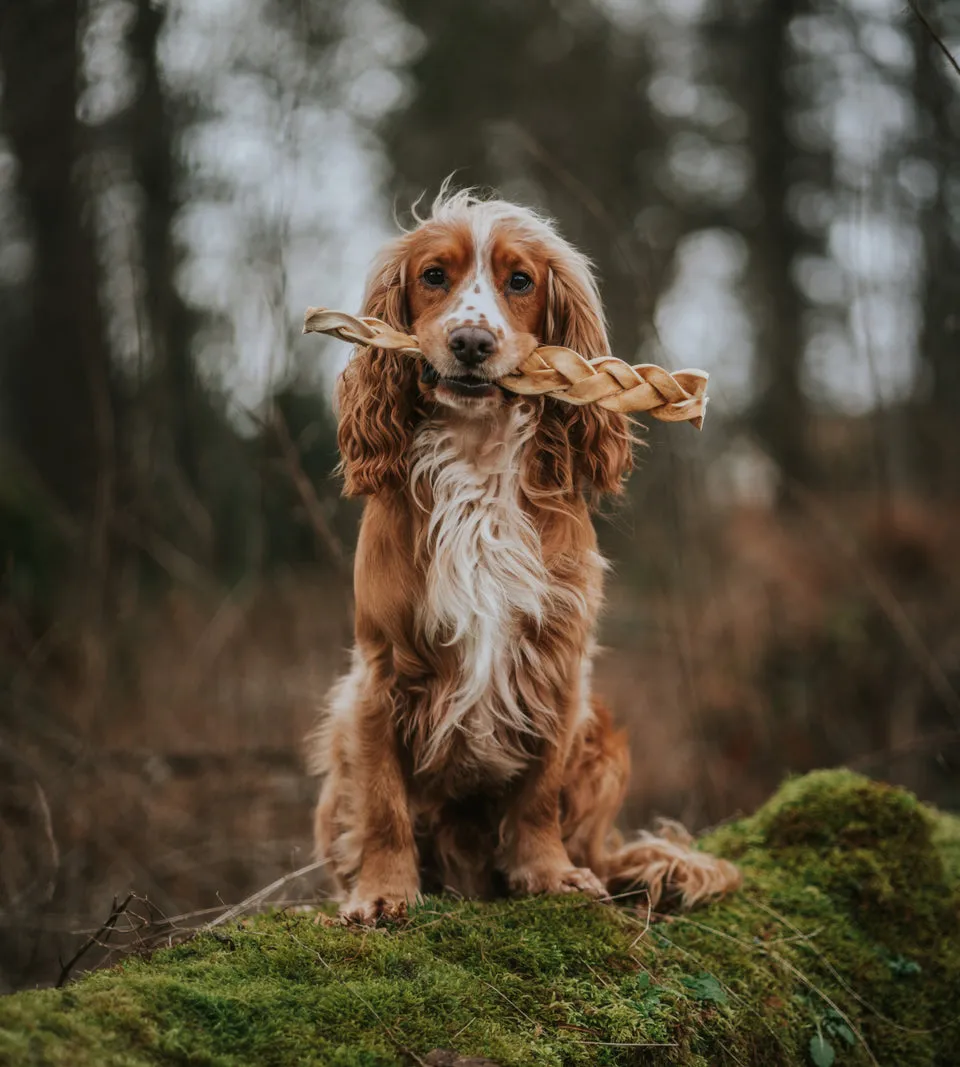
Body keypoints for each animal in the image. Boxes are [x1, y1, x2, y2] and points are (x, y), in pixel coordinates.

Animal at [302, 187, 738, 921]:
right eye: (433, 276)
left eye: (521, 281)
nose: (472, 342)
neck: (478, 458)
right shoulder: (379, 672)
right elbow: (384, 800)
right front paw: (384, 892)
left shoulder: (557, 665)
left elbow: (538, 792)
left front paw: (549, 873)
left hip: (604, 742)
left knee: (601, 848)